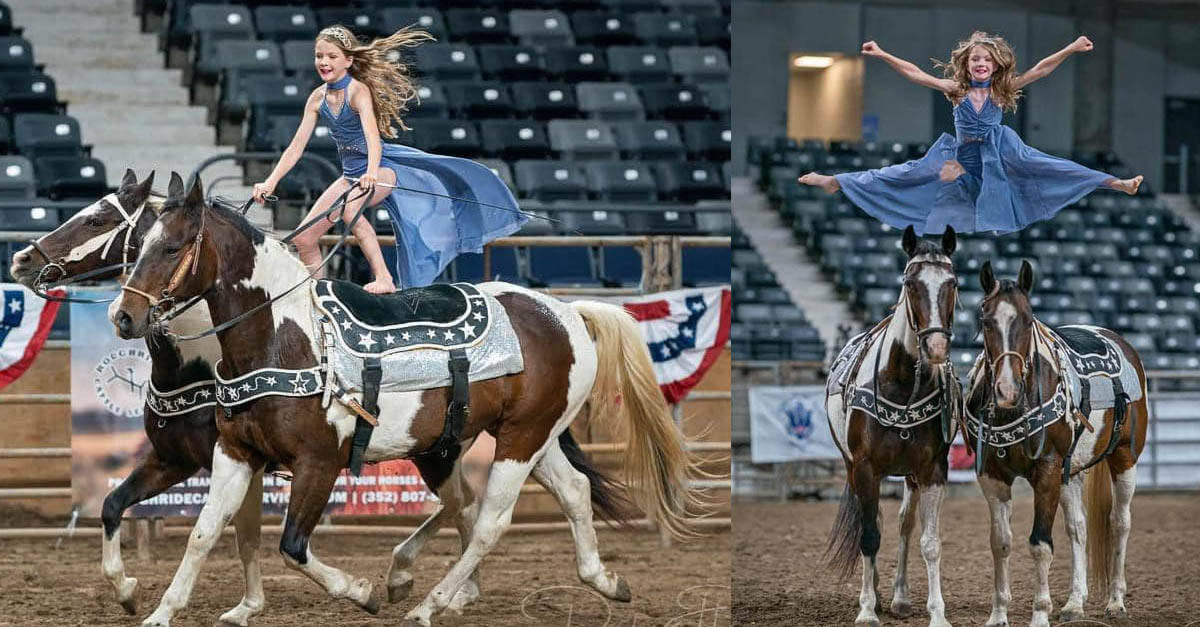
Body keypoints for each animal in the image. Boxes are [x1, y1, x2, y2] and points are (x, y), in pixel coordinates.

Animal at [108, 172, 700, 624]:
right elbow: (204, 532)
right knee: (570, 492)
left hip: (520, 440)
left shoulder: (318, 462)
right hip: (529, 435)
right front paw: (160, 611)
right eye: (135, 248)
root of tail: (566, 311)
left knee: (490, 520)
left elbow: (293, 547)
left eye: (172, 247)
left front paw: (360, 591)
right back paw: (603, 579)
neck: (287, 338)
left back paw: (427, 604)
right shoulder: (235, 454)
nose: (124, 316)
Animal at [820, 224, 960, 624]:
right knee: (872, 525)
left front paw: (937, 612)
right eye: (910, 283)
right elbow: (869, 536)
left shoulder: (933, 470)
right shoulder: (865, 468)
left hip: (910, 475)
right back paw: (877, 595)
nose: (936, 349)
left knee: (903, 525)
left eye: (952, 283)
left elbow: (929, 542)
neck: (900, 383)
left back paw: (899, 596)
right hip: (853, 467)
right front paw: (867, 609)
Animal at [964, 259, 1142, 624]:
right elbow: (1000, 542)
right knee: (1078, 528)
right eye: (986, 321)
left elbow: (1040, 544)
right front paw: (998, 614)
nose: (1007, 389)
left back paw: (1116, 601)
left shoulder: (1046, 471)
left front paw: (1039, 614)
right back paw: (1074, 603)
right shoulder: (992, 476)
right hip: (1070, 472)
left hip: (1124, 458)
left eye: (1029, 319)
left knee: (1120, 523)